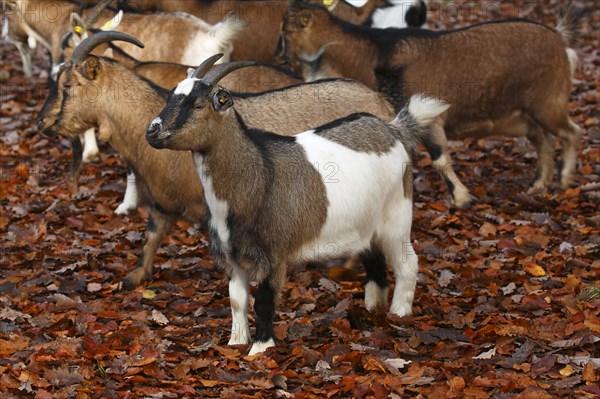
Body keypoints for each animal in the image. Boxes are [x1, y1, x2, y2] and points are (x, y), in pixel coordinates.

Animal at [36, 32, 394, 292]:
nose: (43, 123)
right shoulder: (162, 206)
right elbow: (151, 237)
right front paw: (134, 278)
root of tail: (383, 104)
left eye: (67, 85)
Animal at [144, 58, 446, 354]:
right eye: (171, 97)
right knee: (374, 258)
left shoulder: (273, 255)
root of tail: (393, 129)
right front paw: (236, 343)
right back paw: (373, 308)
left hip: (397, 215)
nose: (152, 131)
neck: (259, 175)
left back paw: (398, 314)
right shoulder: (233, 257)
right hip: (366, 224)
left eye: (197, 105)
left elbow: (264, 301)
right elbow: (237, 301)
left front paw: (260, 349)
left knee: (407, 262)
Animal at [282, 2, 584, 209]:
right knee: (543, 139)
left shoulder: (428, 116)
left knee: (572, 132)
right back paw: (539, 184)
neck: (373, 55)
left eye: (287, 32)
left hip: (549, 102)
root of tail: (561, 40)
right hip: (519, 116)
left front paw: (461, 199)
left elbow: (440, 159)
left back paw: (564, 179)